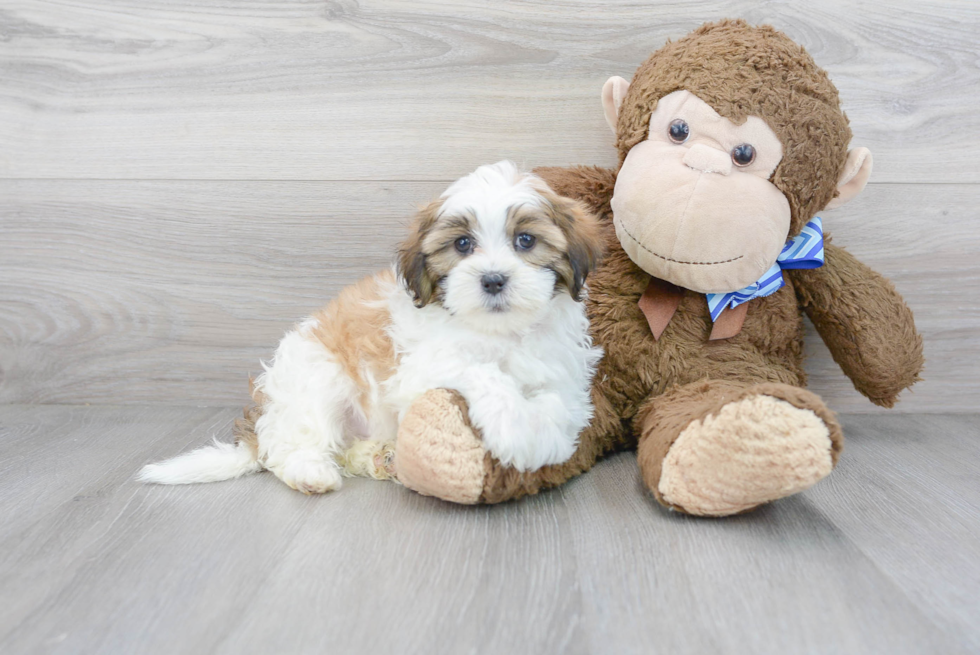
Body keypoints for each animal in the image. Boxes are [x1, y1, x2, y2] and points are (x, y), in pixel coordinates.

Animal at [140, 161, 604, 494]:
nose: (492, 279)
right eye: (462, 244)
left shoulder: (562, 367)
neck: (501, 333)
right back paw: (311, 472)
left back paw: (381, 458)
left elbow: (561, 403)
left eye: (526, 240)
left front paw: (548, 438)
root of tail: (263, 415)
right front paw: (517, 432)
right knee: (288, 444)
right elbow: (483, 373)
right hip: (318, 375)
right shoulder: (423, 366)